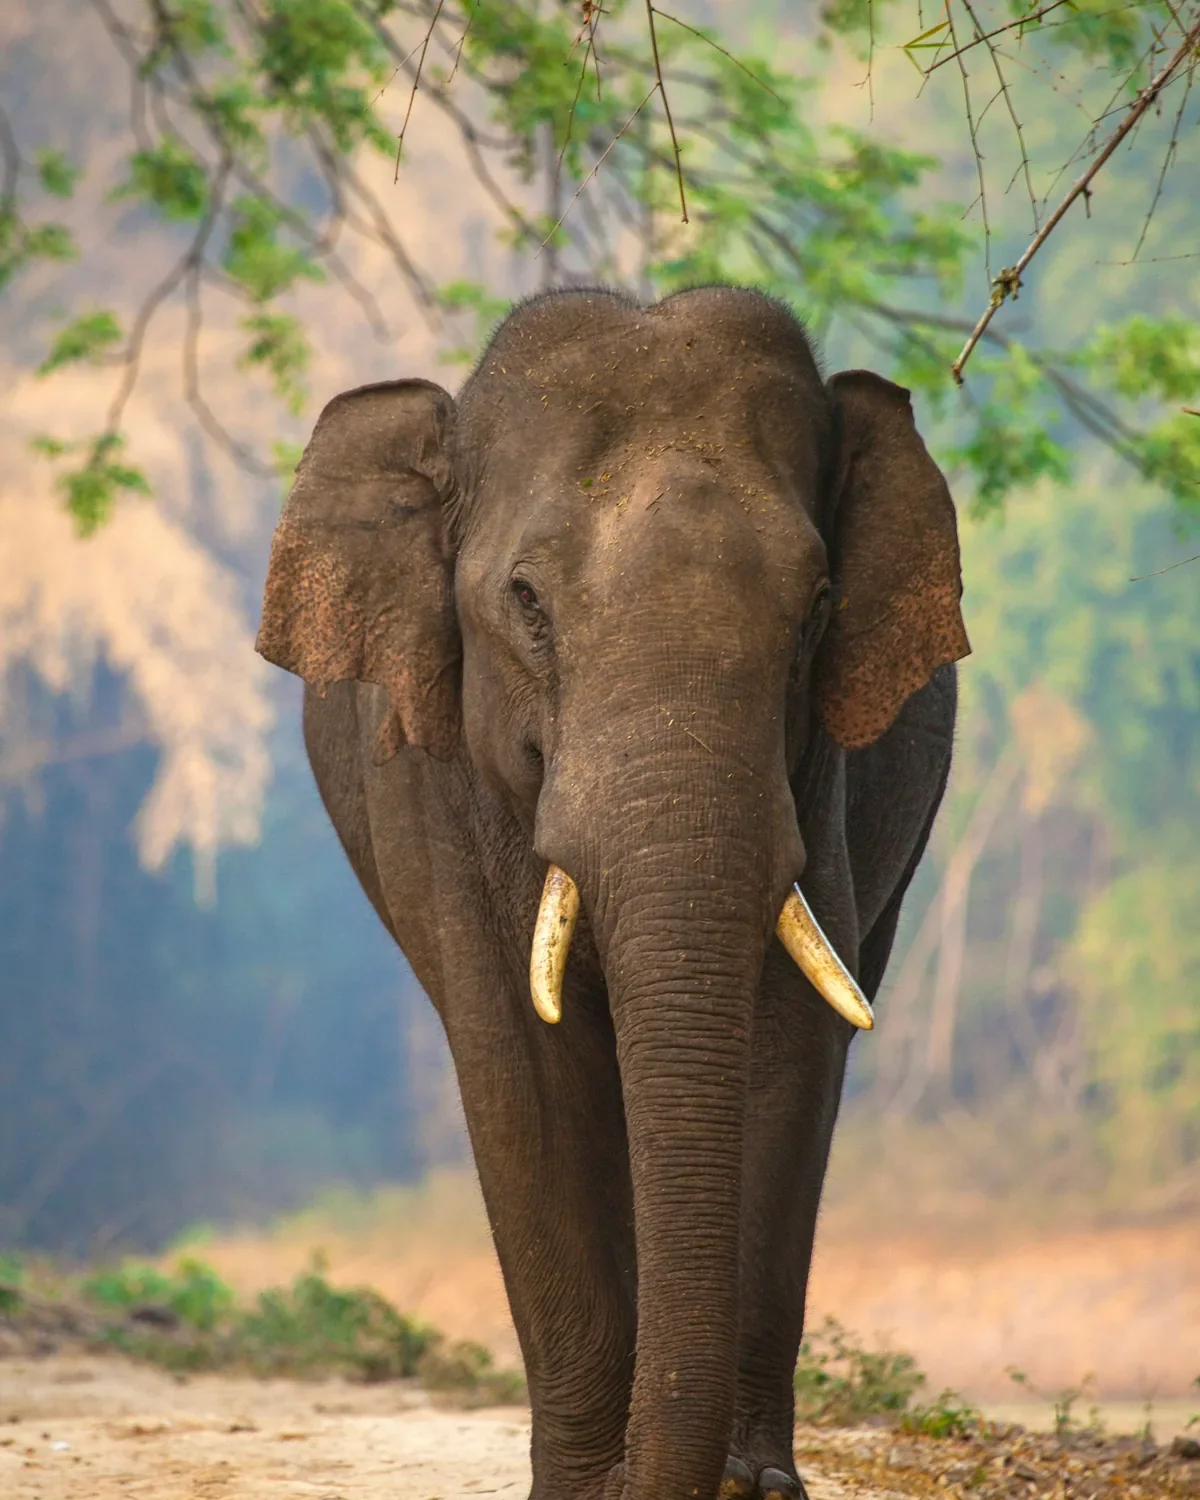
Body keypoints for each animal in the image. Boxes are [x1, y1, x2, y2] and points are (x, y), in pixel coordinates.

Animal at [256, 285, 969, 1500]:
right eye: (526, 600)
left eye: (818, 606)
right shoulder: (436, 786)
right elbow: (520, 1072)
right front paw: (591, 1489)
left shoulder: (820, 780)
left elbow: (787, 1053)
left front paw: (744, 1485)